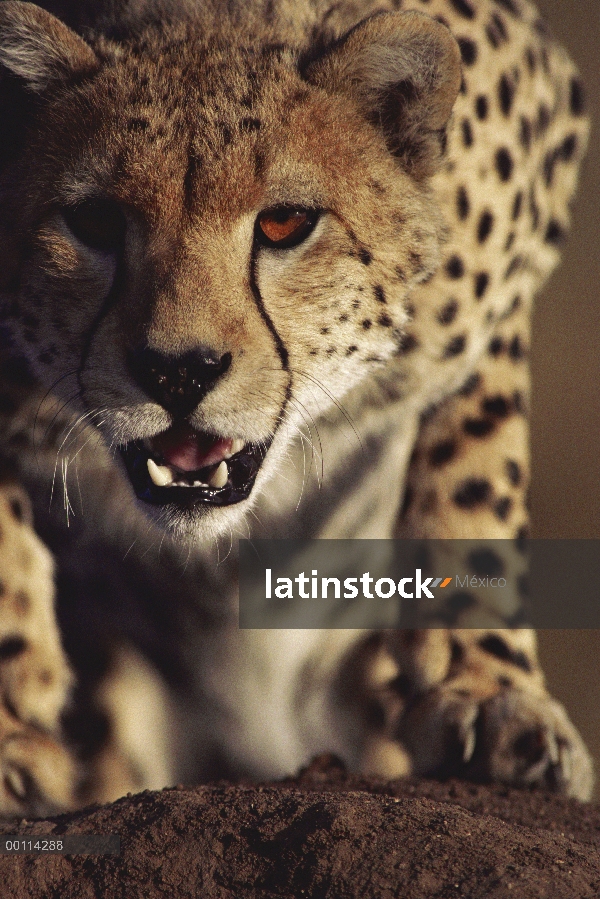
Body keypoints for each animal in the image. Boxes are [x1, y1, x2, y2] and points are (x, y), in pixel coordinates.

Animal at [0, 0, 592, 816]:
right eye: (92, 221)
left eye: (284, 224)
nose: (178, 371)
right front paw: (11, 733)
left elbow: (474, 465)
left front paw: (486, 688)